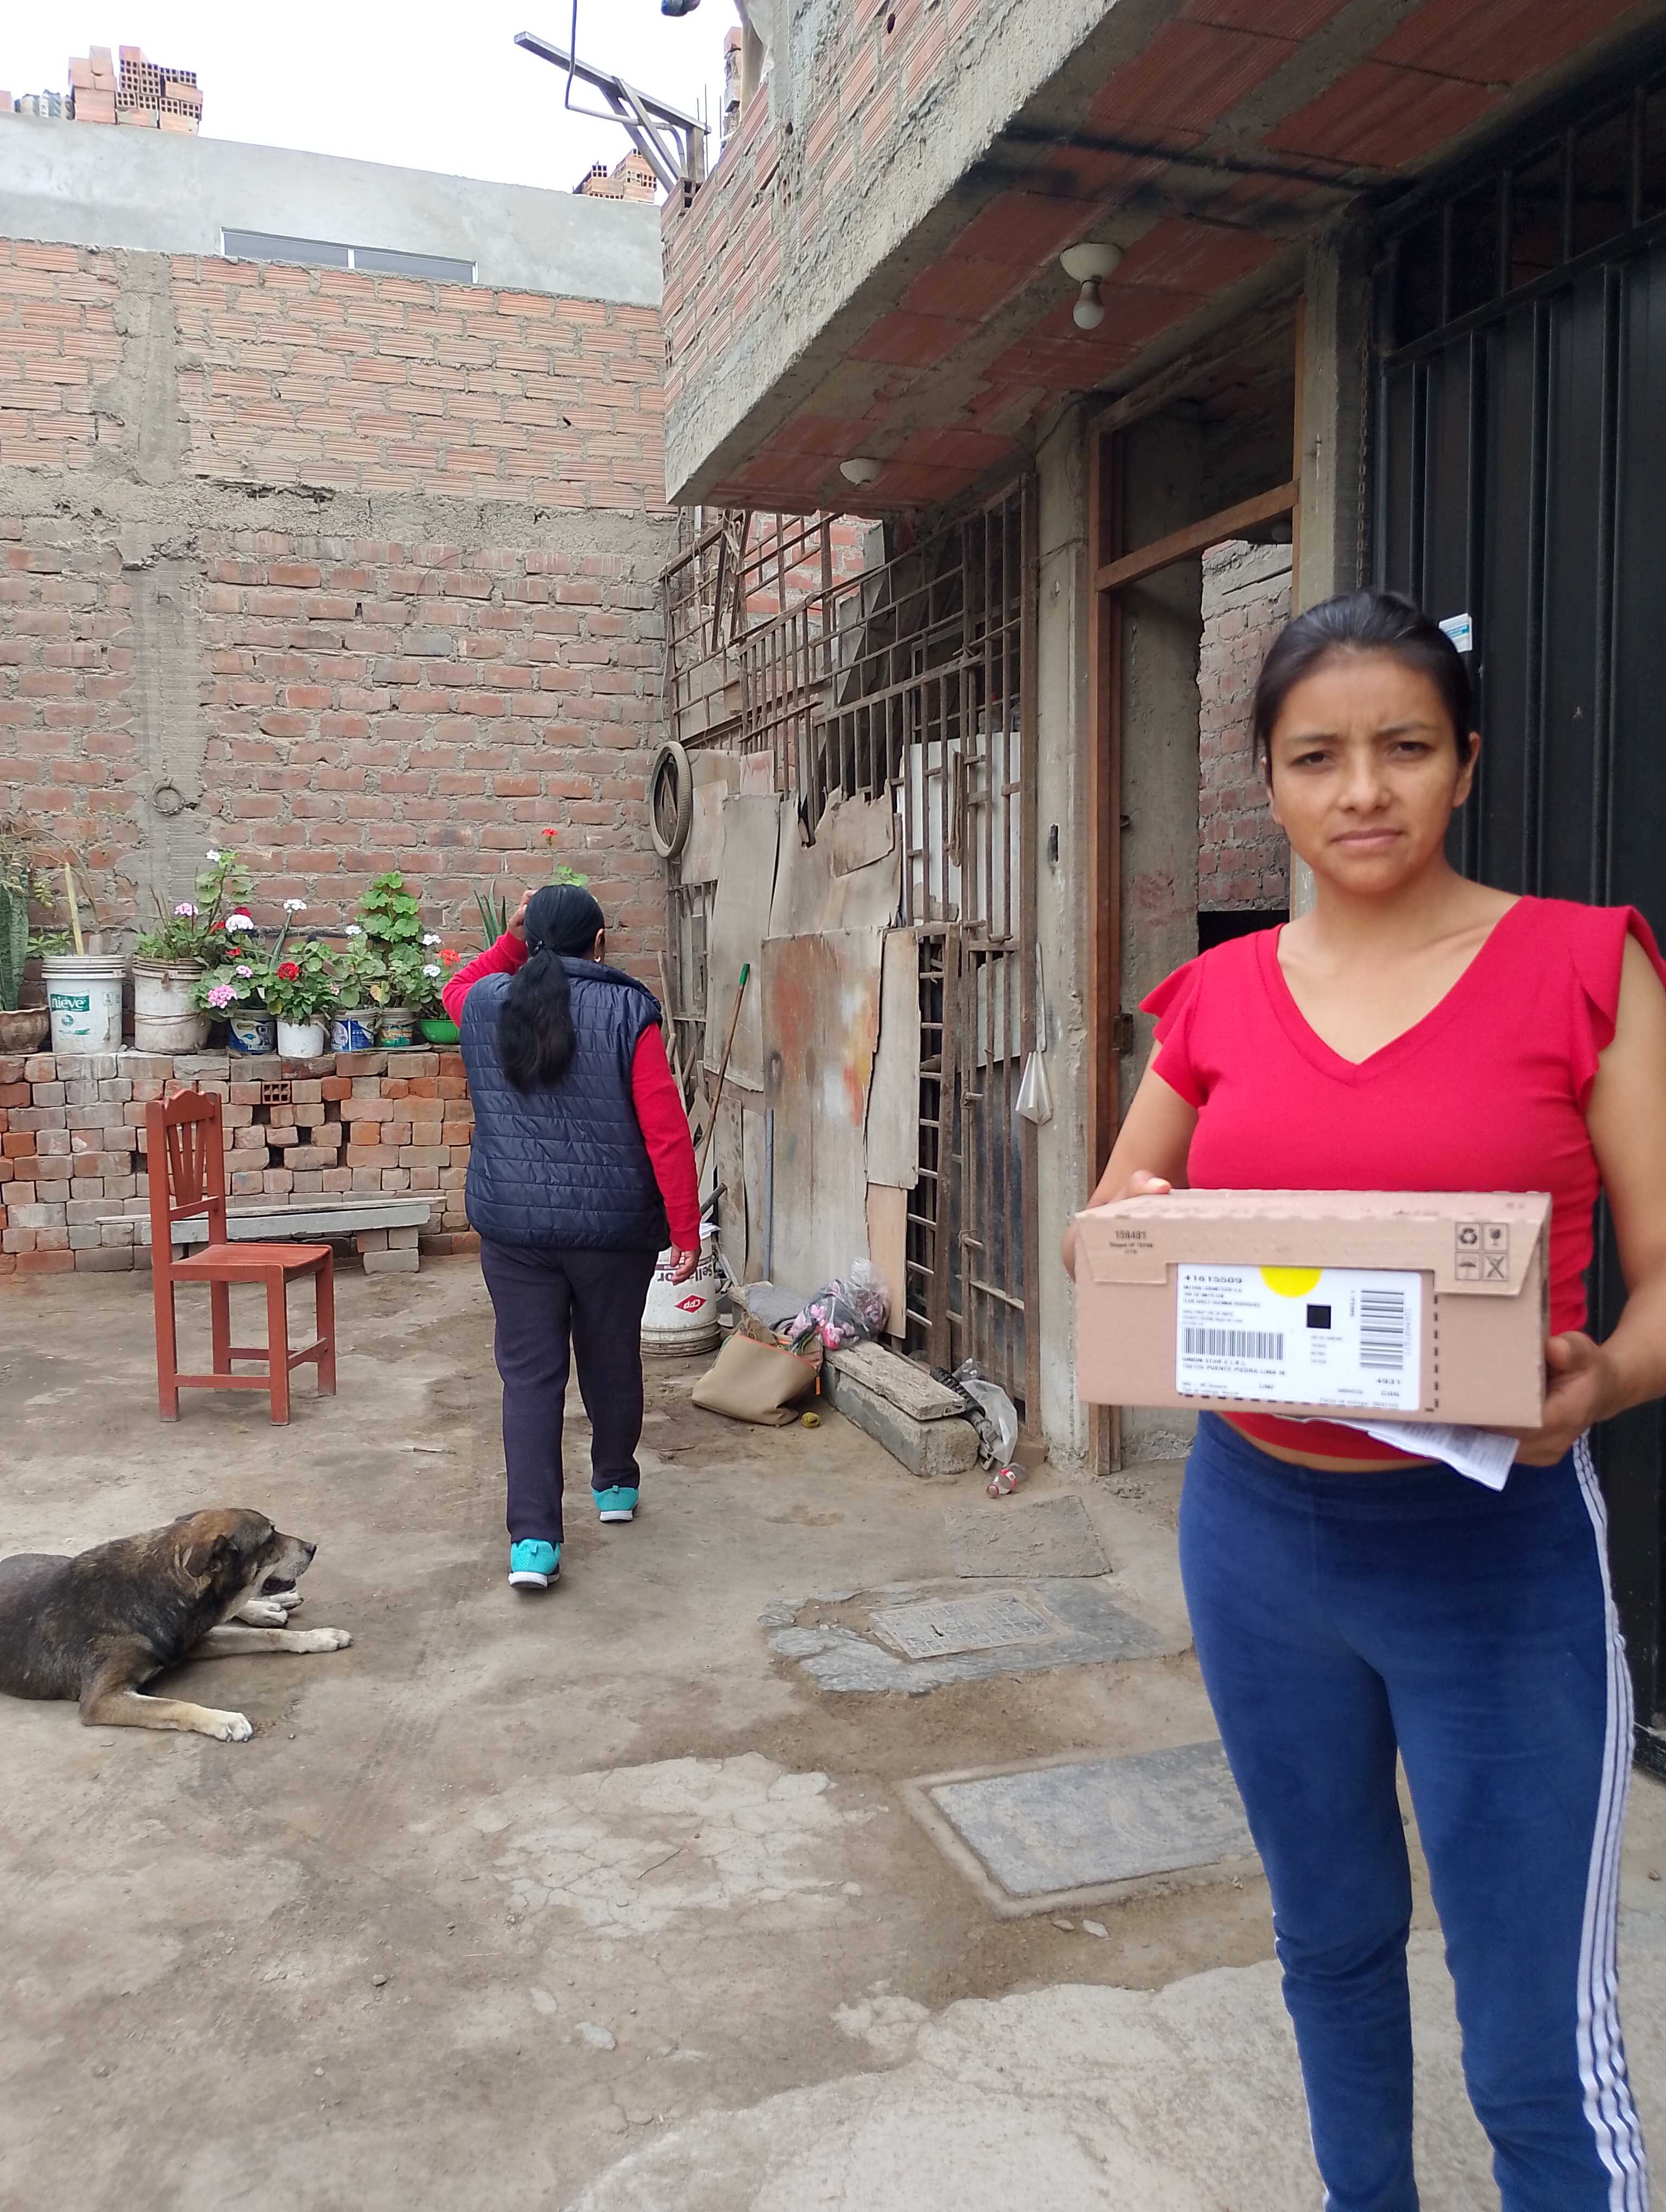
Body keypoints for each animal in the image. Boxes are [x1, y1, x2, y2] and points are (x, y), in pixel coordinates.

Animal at [0, 1509, 350, 1741]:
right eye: (270, 1539)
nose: (313, 1548)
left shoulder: (192, 1639)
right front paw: (222, 1719)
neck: (156, 1587)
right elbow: (173, 1705)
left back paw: (268, 1607)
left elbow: (268, 1636)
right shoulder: (102, 1700)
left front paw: (318, 1637)